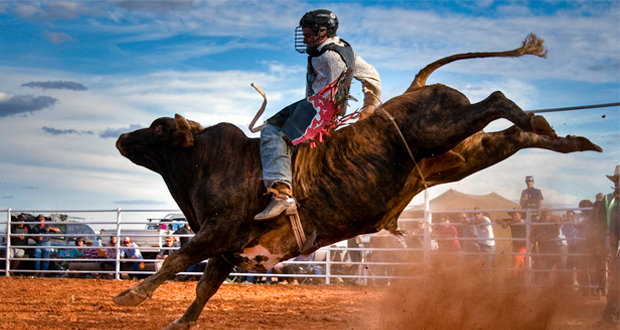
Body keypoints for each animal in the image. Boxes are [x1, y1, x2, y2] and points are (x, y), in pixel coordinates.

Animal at [111, 34, 600, 328]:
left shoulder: (218, 230)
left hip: (438, 128)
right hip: (460, 154)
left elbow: (177, 259)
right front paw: (182, 320)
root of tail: (414, 89)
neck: (205, 160)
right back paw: (568, 138)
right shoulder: (230, 248)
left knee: (497, 99)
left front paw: (131, 295)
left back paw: (537, 118)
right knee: (513, 136)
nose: (121, 137)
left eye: (158, 128)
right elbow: (205, 284)